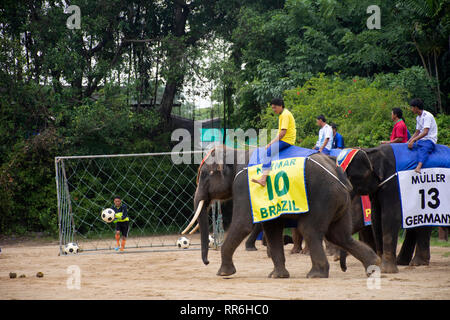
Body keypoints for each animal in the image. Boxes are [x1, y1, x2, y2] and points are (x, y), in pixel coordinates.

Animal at [183, 145, 380, 278]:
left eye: (205, 175)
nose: (207, 262)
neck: (237, 151)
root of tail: (339, 175)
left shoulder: (244, 185)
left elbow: (243, 224)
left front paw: (223, 273)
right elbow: (271, 227)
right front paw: (277, 276)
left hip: (323, 197)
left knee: (310, 230)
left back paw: (315, 274)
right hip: (341, 201)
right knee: (339, 235)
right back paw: (373, 267)